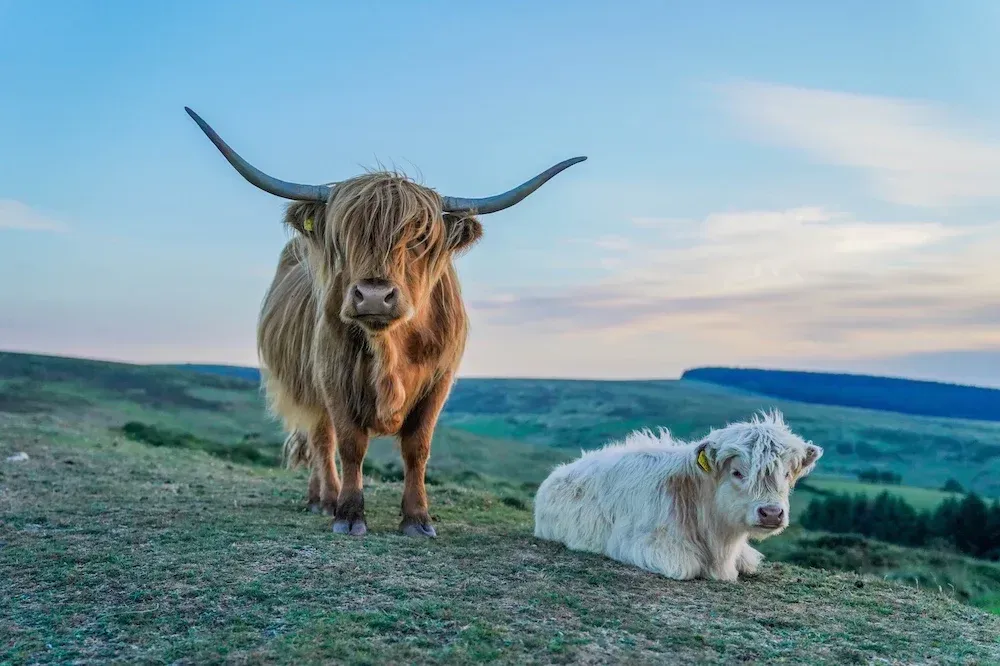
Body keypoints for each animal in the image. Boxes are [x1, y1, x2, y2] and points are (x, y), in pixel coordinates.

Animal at [185, 107, 586, 538]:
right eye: (343, 235)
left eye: (419, 238)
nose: (374, 296)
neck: (391, 349)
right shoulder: (333, 375)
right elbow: (349, 444)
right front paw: (349, 514)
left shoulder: (439, 380)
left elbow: (417, 447)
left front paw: (417, 519)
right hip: (308, 384)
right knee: (320, 438)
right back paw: (322, 499)